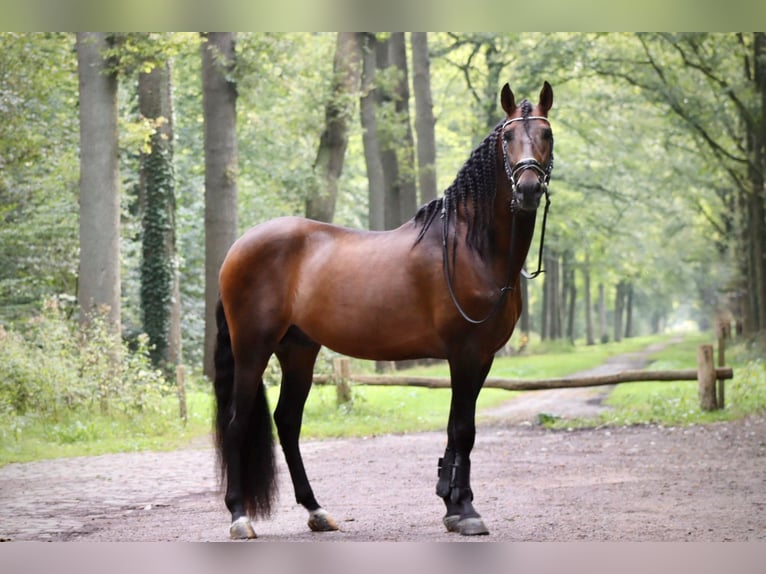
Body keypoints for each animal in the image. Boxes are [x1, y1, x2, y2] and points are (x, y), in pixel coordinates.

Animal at [213, 81, 556, 540]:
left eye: (546, 133)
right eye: (507, 137)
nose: (528, 189)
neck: (470, 247)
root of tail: (236, 249)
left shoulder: (481, 357)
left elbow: (459, 431)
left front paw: (452, 504)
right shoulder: (464, 353)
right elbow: (462, 429)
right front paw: (465, 510)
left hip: (298, 350)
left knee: (287, 422)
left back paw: (316, 511)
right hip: (253, 347)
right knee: (237, 423)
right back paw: (239, 516)